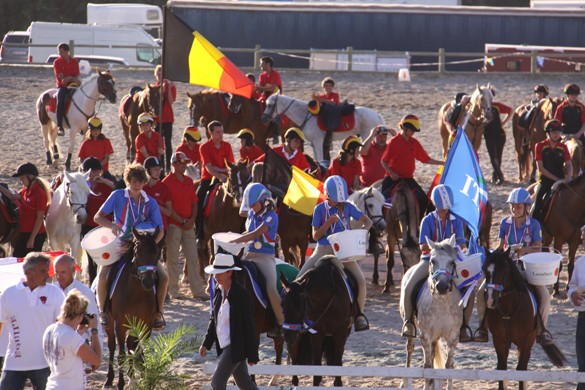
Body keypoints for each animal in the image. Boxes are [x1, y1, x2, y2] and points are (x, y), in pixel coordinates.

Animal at [104, 229, 161, 390]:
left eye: (157, 253)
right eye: (137, 252)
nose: (148, 282)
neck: (136, 292)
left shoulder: (146, 324)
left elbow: (139, 350)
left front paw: (142, 378)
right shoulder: (121, 325)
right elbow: (122, 354)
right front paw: (121, 383)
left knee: (131, 345)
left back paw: (132, 377)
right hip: (110, 322)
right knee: (112, 346)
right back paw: (109, 379)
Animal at [400, 235, 464, 390]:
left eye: (452, 262)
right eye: (432, 261)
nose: (441, 286)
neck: (441, 303)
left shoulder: (453, 338)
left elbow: (449, 366)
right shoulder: (426, 336)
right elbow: (427, 366)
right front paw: (426, 385)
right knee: (409, 348)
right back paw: (404, 382)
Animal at [482, 250, 564, 390]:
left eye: (504, 270)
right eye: (484, 269)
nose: (490, 300)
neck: (508, 310)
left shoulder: (526, 340)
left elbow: (521, 370)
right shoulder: (499, 340)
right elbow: (501, 369)